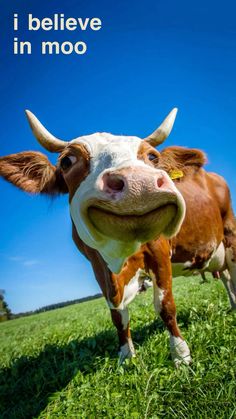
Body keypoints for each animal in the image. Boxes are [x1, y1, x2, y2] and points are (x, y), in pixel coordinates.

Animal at [0, 109, 235, 368]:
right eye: (67, 161)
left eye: (152, 157)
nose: (139, 184)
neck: (120, 256)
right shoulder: (98, 266)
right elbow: (117, 314)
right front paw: (126, 357)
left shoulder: (160, 253)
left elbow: (165, 306)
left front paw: (181, 356)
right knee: (225, 276)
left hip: (230, 234)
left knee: (231, 272)